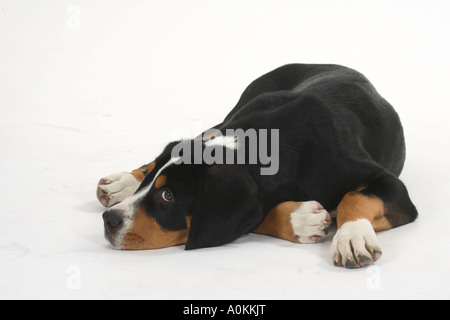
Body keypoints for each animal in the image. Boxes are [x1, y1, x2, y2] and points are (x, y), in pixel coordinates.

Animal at [96, 63, 416, 268]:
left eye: (167, 196)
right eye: (153, 183)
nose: (109, 221)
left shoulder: (389, 183)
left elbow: (354, 197)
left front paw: (352, 236)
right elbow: (257, 213)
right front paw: (300, 220)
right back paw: (119, 183)